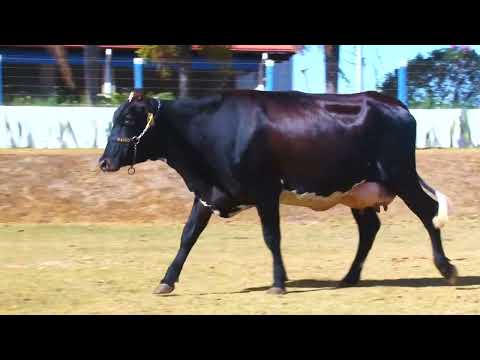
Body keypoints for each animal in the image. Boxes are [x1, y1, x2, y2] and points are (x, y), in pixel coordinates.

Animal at [99, 88, 456, 294]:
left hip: (401, 176)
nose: (104, 162)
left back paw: (446, 268)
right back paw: (349, 277)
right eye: (114, 118)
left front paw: (279, 283)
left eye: (128, 120)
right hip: (359, 192)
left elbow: (272, 237)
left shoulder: (265, 191)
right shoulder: (208, 193)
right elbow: (188, 236)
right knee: (370, 229)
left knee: (428, 214)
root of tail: (395, 104)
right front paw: (166, 280)